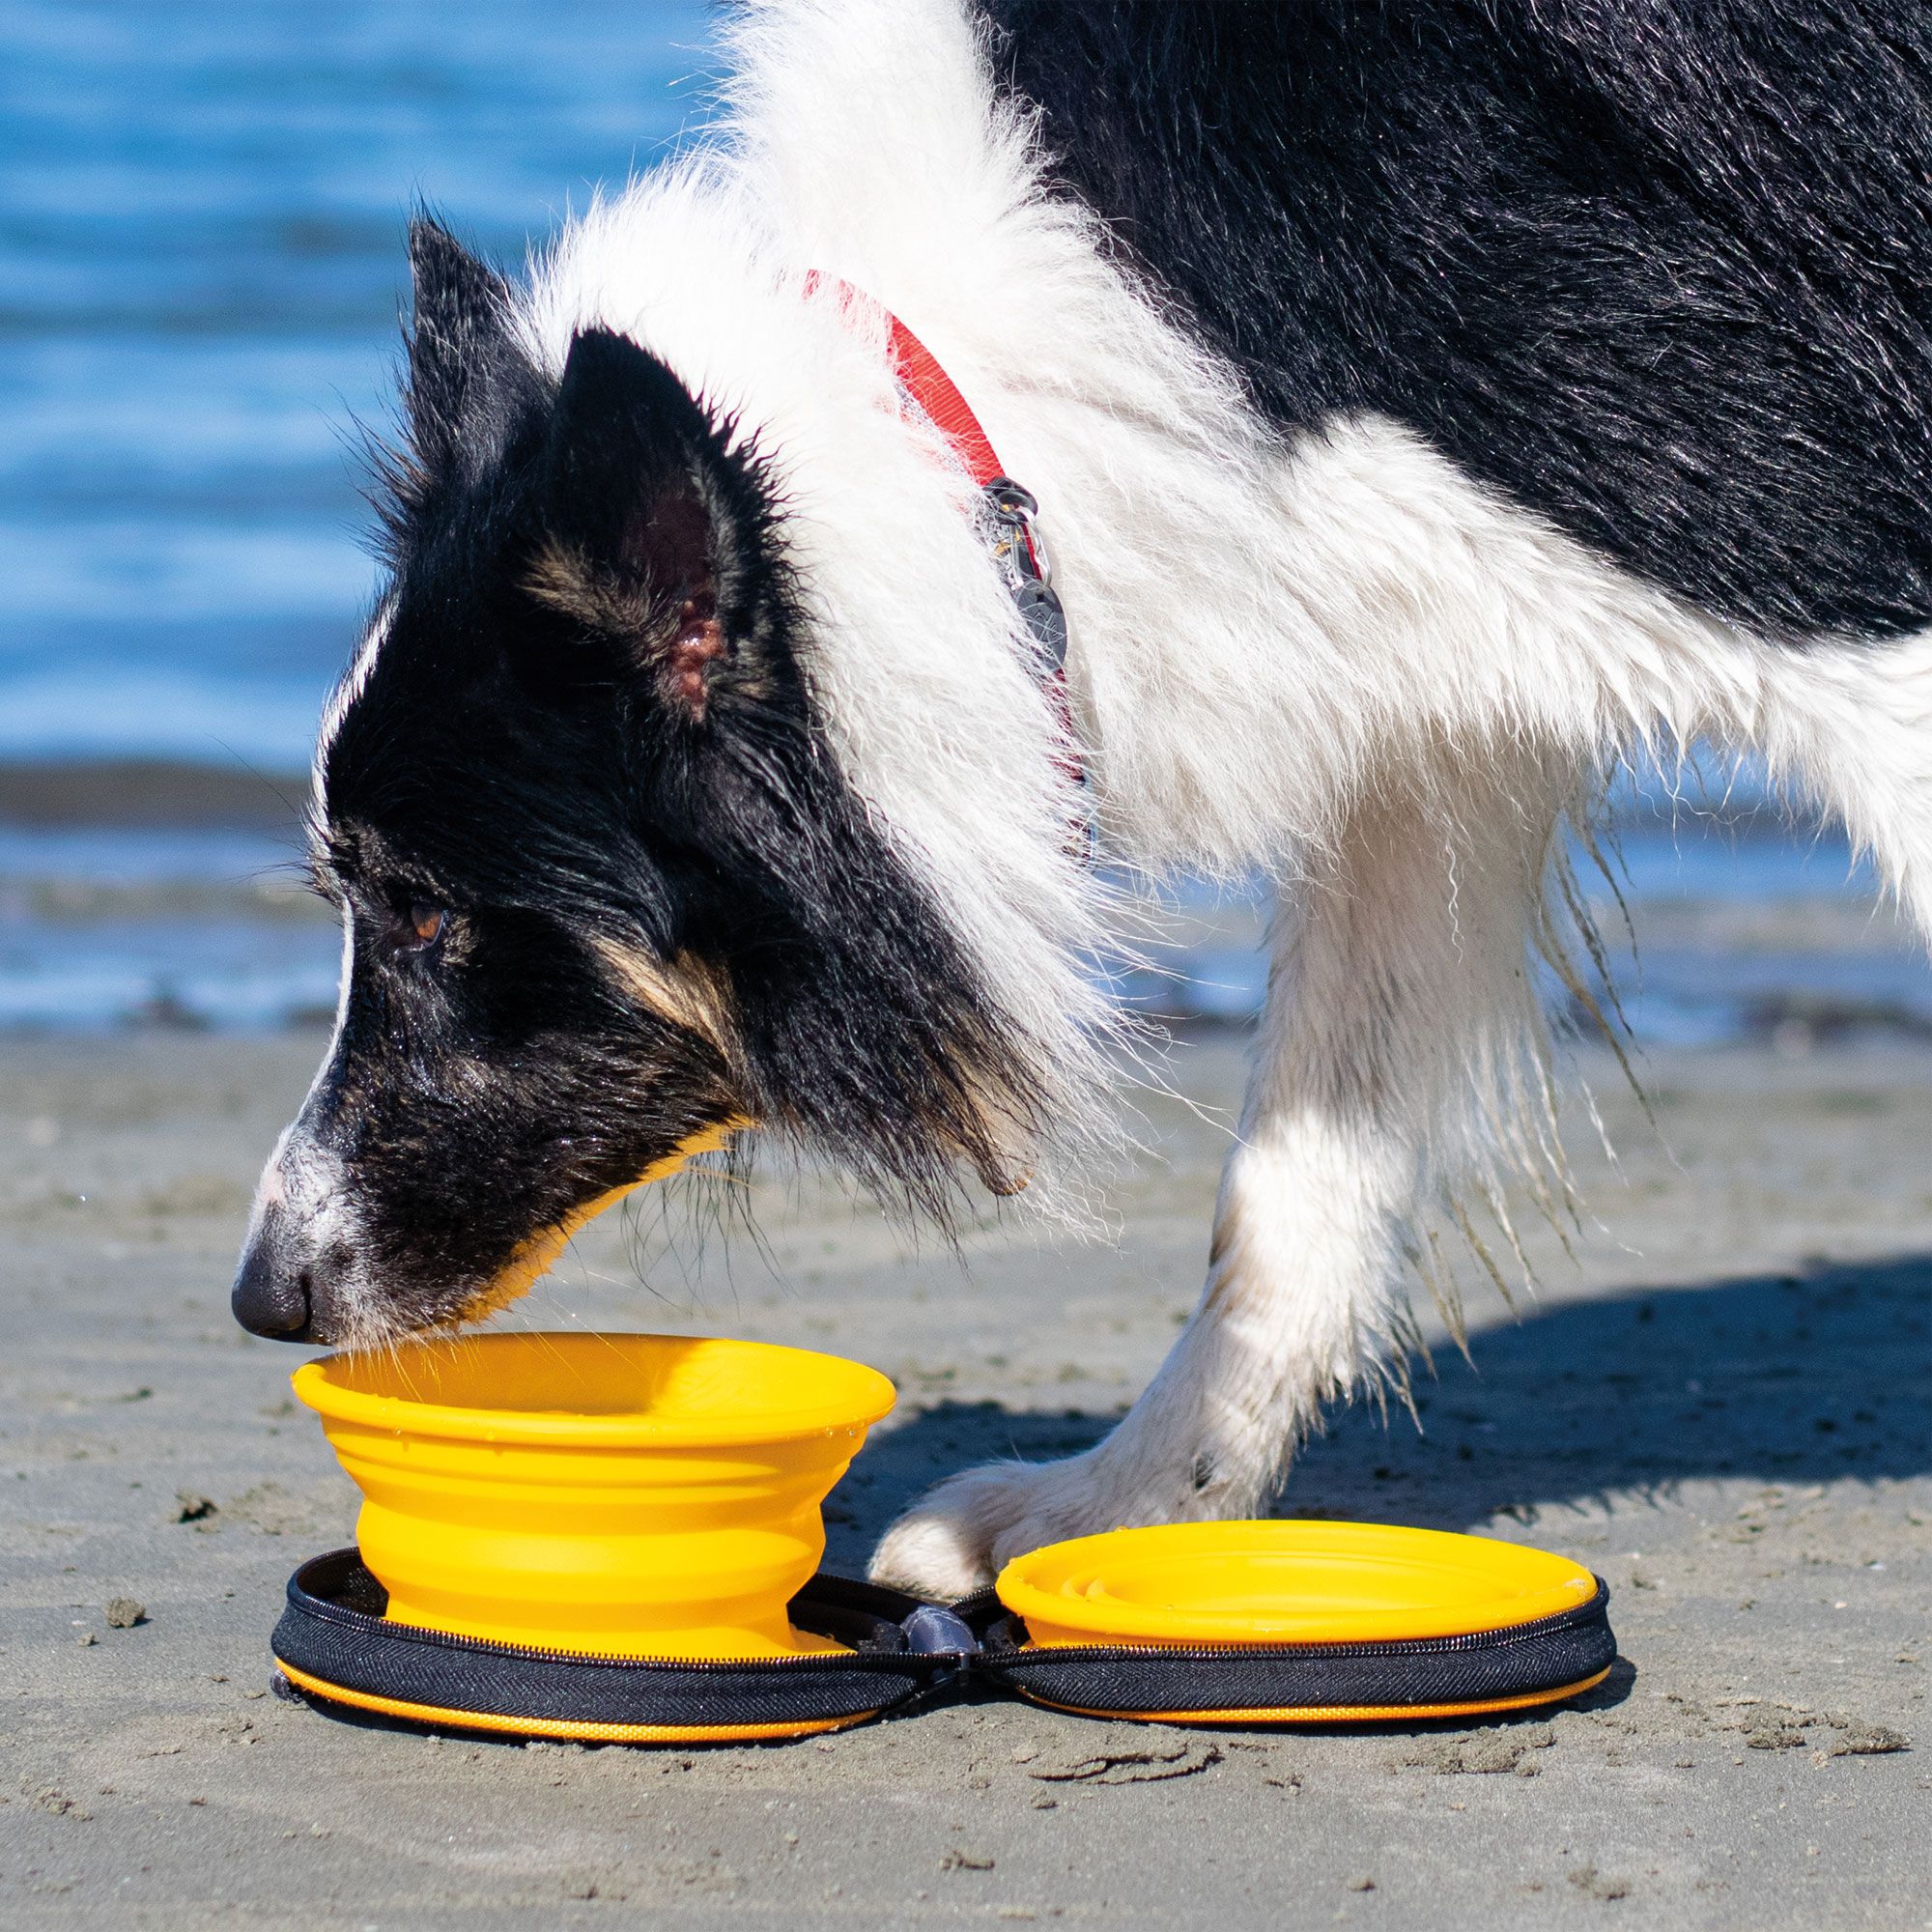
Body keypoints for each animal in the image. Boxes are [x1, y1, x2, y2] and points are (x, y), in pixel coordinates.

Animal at [234, 3, 1932, 1600]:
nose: (264, 1295)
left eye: (430, 913)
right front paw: (1124, 1506)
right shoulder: (1423, 713)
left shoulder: (1823, 562)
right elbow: (1294, 1183)